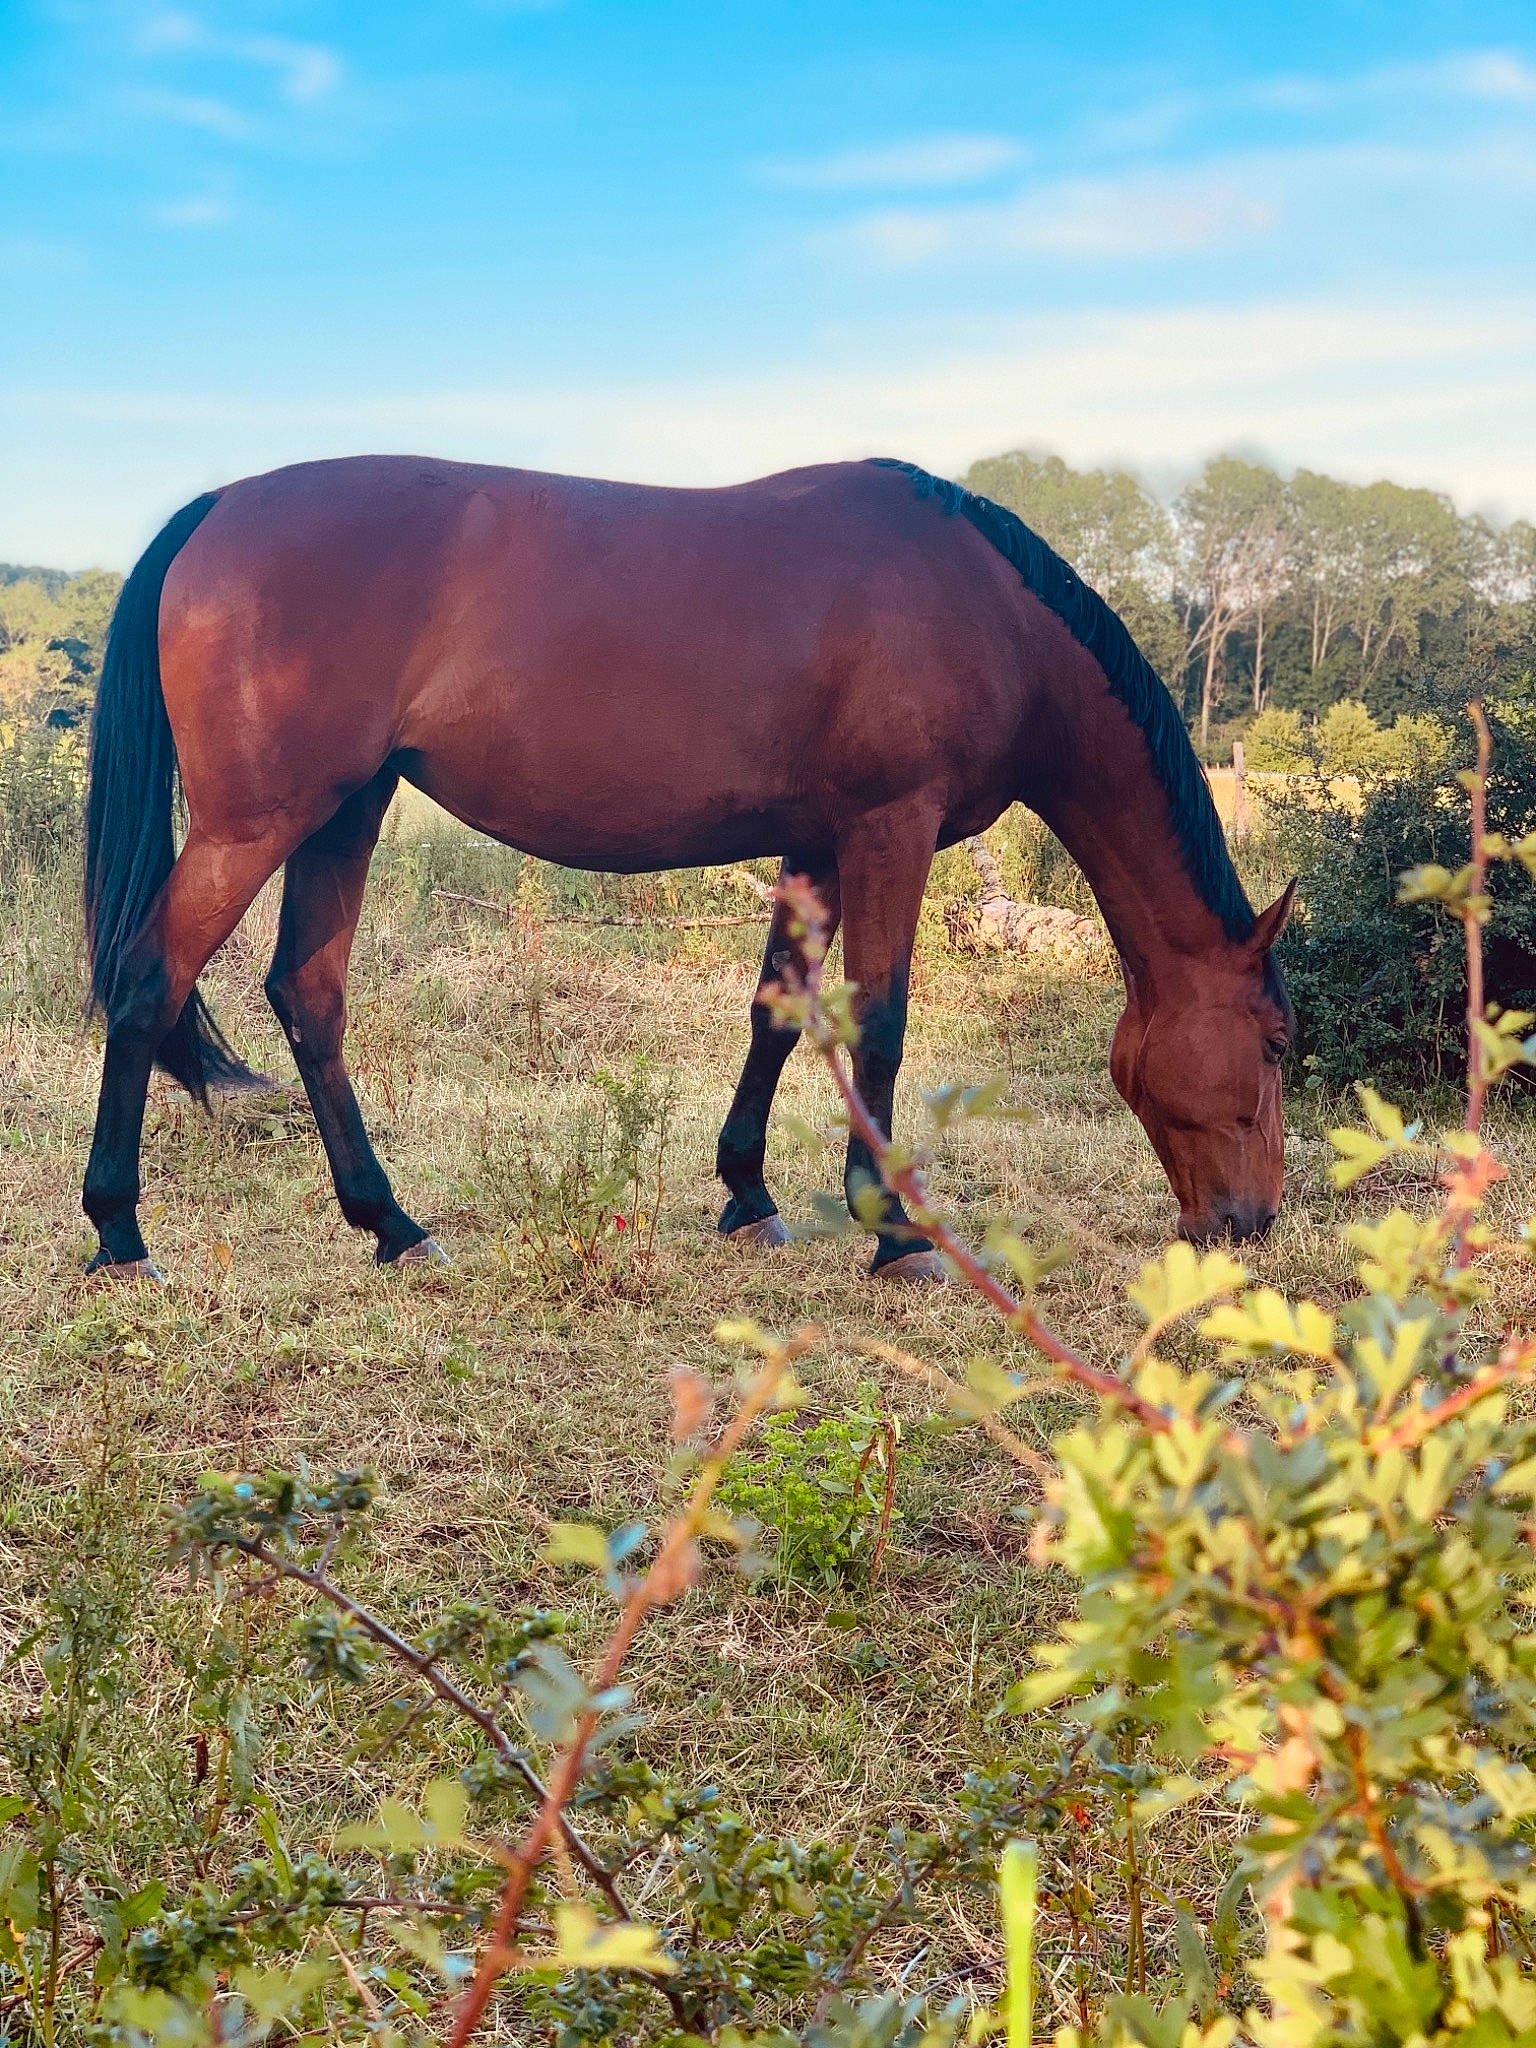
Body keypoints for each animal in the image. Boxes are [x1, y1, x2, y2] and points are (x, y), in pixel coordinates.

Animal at [81, 455, 1295, 1284]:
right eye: (1278, 1042)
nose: (1252, 1222)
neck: (985, 607)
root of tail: (217, 509)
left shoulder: (817, 842)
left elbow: (776, 1012)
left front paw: (748, 1195)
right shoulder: (890, 828)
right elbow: (879, 1017)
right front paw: (897, 1233)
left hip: (345, 810)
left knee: (309, 995)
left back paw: (393, 1224)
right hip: (256, 823)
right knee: (149, 983)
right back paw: (119, 1233)